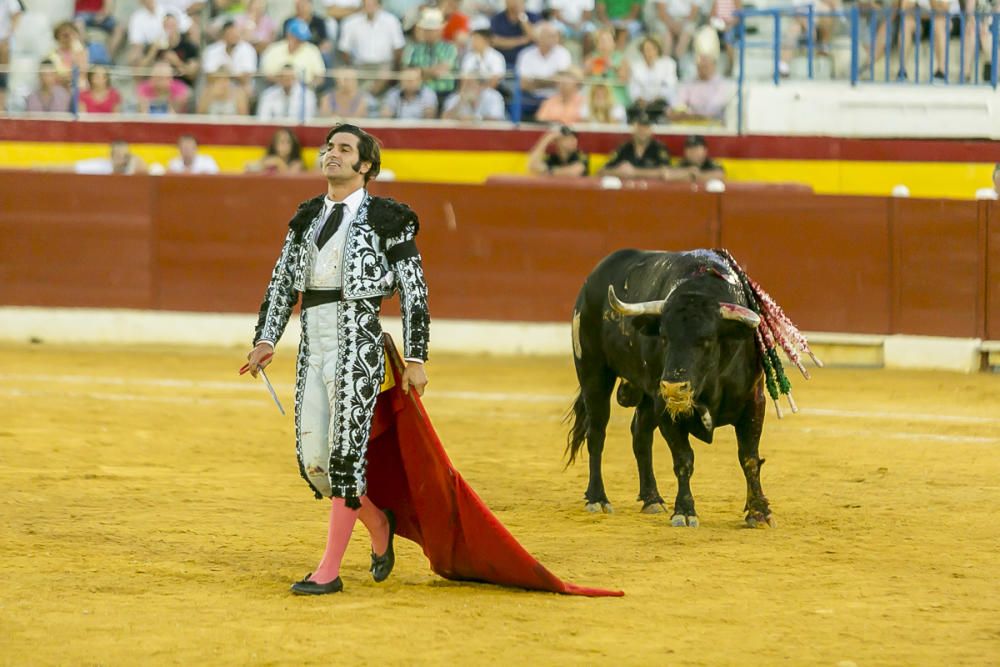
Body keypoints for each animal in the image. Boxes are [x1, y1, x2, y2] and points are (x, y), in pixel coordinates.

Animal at [572, 248, 772, 528]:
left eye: (707, 340)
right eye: (664, 337)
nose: (674, 387)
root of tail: (591, 282)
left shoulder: (754, 402)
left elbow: (749, 458)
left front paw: (758, 512)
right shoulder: (664, 406)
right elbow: (683, 459)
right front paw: (685, 511)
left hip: (643, 394)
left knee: (640, 435)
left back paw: (652, 499)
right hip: (593, 373)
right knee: (597, 434)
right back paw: (597, 498)